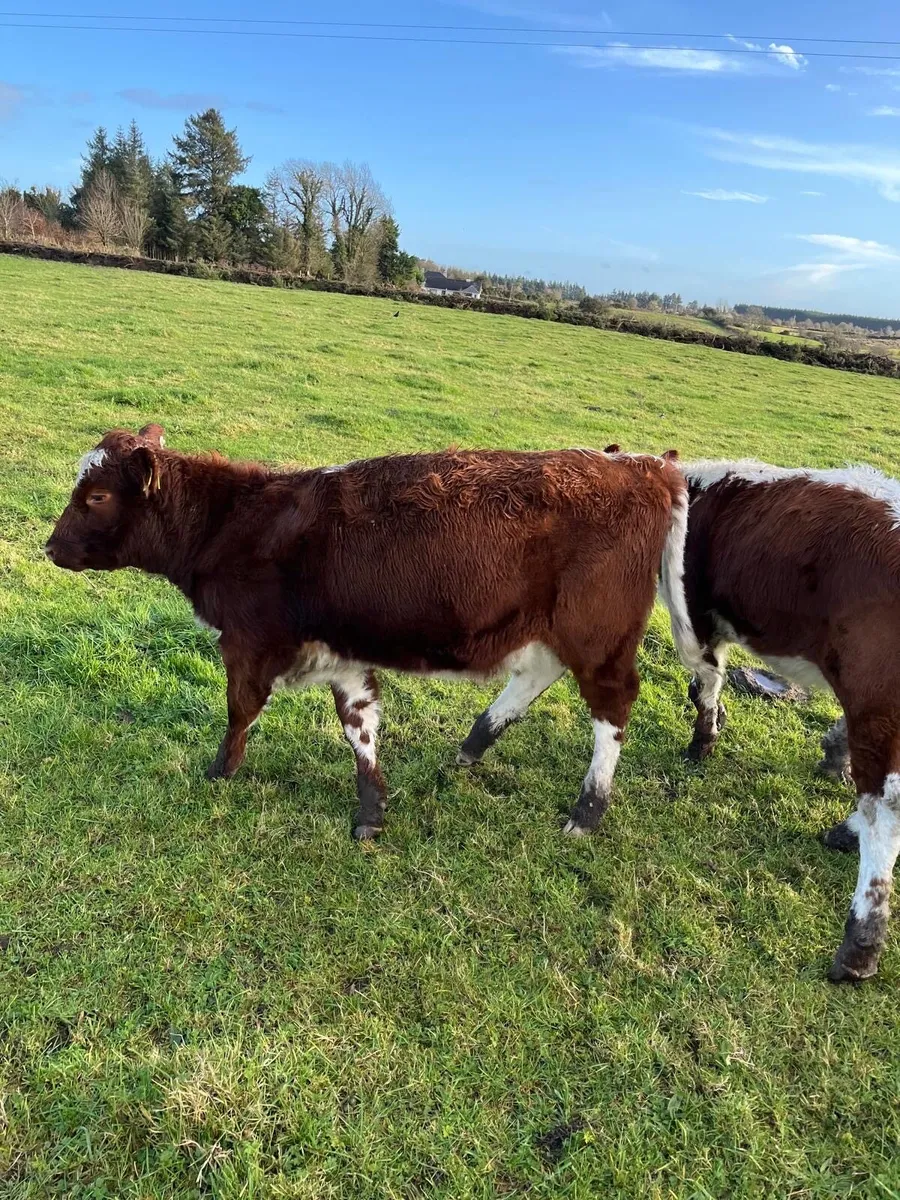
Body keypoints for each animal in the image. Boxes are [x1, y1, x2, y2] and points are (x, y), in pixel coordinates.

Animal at [45, 425, 689, 842]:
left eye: (96, 496)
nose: (50, 548)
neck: (237, 521)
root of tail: (644, 467)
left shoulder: (249, 643)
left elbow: (239, 709)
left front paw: (220, 771)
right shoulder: (342, 654)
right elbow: (360, 726)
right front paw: (371, 809)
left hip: (598, 637)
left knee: (611, 707)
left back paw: (588, 809)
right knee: (536, 676)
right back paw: (471, 747)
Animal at [660, 458, 900, 982]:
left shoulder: (696, 619)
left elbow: (706, 683)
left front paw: (702, 742)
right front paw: (831, 755)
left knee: (886, 810)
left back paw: (859, 945)